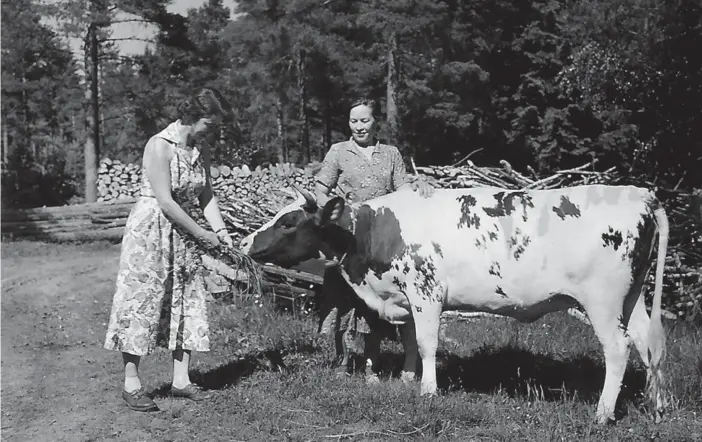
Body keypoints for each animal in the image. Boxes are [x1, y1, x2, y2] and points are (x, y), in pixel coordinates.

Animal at [242, 185, 672, 424]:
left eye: (288, 222)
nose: (246, 241)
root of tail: (640, 193)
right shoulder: (405, 297)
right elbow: (410, 339)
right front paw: (407, 378)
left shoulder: (427, 291)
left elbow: (427, 342)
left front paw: (428, 390)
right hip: (632, 297)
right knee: (647, 344)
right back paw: (657, 407)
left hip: (603, 300)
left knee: (618, 349)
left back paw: (602, 413)